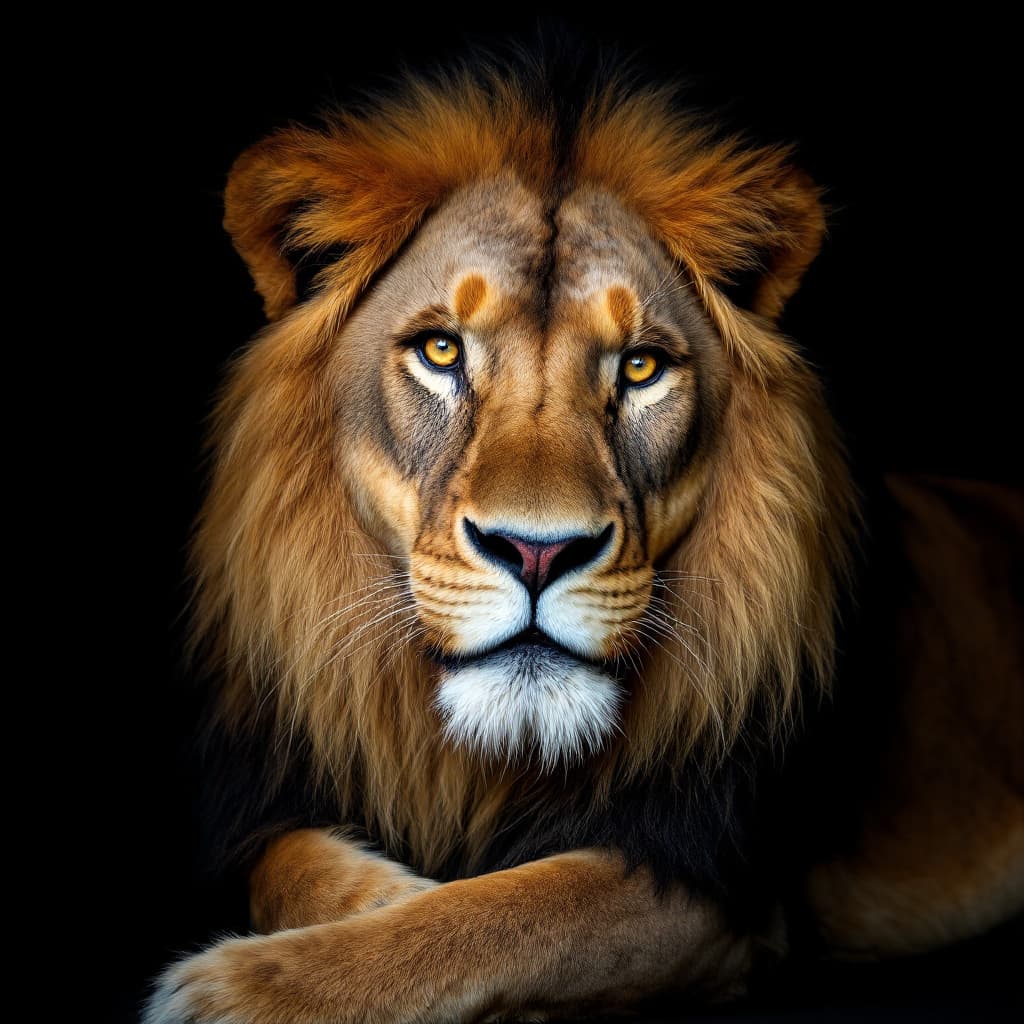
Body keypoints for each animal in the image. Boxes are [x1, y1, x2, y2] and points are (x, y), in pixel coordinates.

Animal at [145, 60, 1024, 1022]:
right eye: (442, 351)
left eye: (640, 366)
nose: (538, 553)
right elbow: (281, 858)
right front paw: (385, 892)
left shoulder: (710, 883)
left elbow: (505, 915)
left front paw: (240, 990)